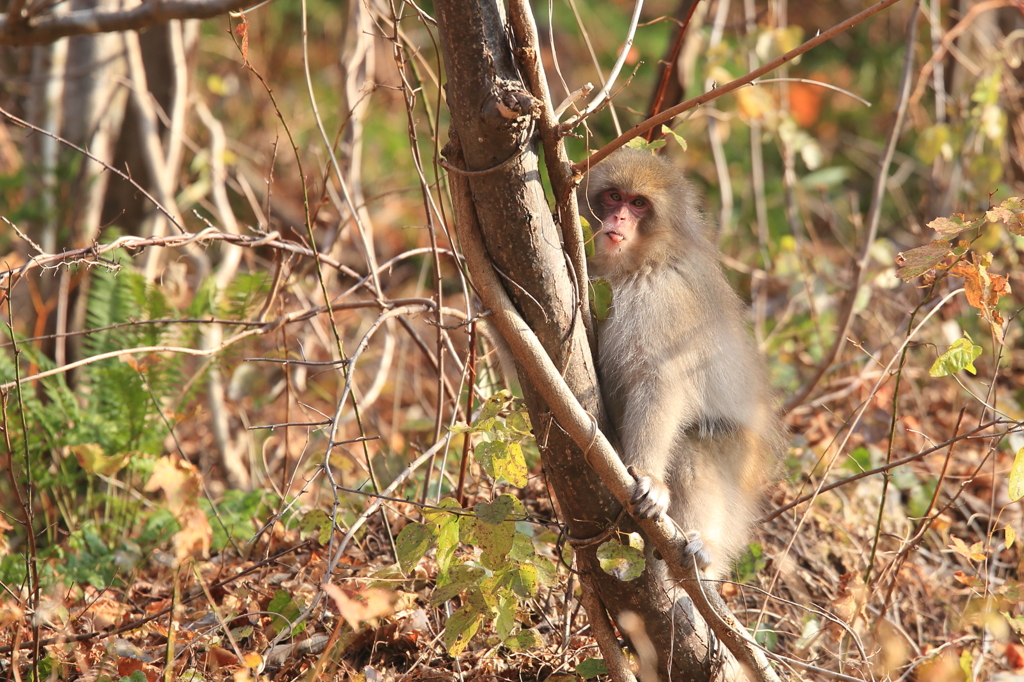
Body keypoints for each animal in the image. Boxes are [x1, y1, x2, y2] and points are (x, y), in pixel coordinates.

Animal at [577, 146, 782, 577]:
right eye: (614, 197)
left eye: (638, 204)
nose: (619, 219)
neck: (638, 267)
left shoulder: (663, 298)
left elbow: (660, 379)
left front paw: (650, 475)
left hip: (741, 467)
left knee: (695, 441)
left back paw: (705, 548)